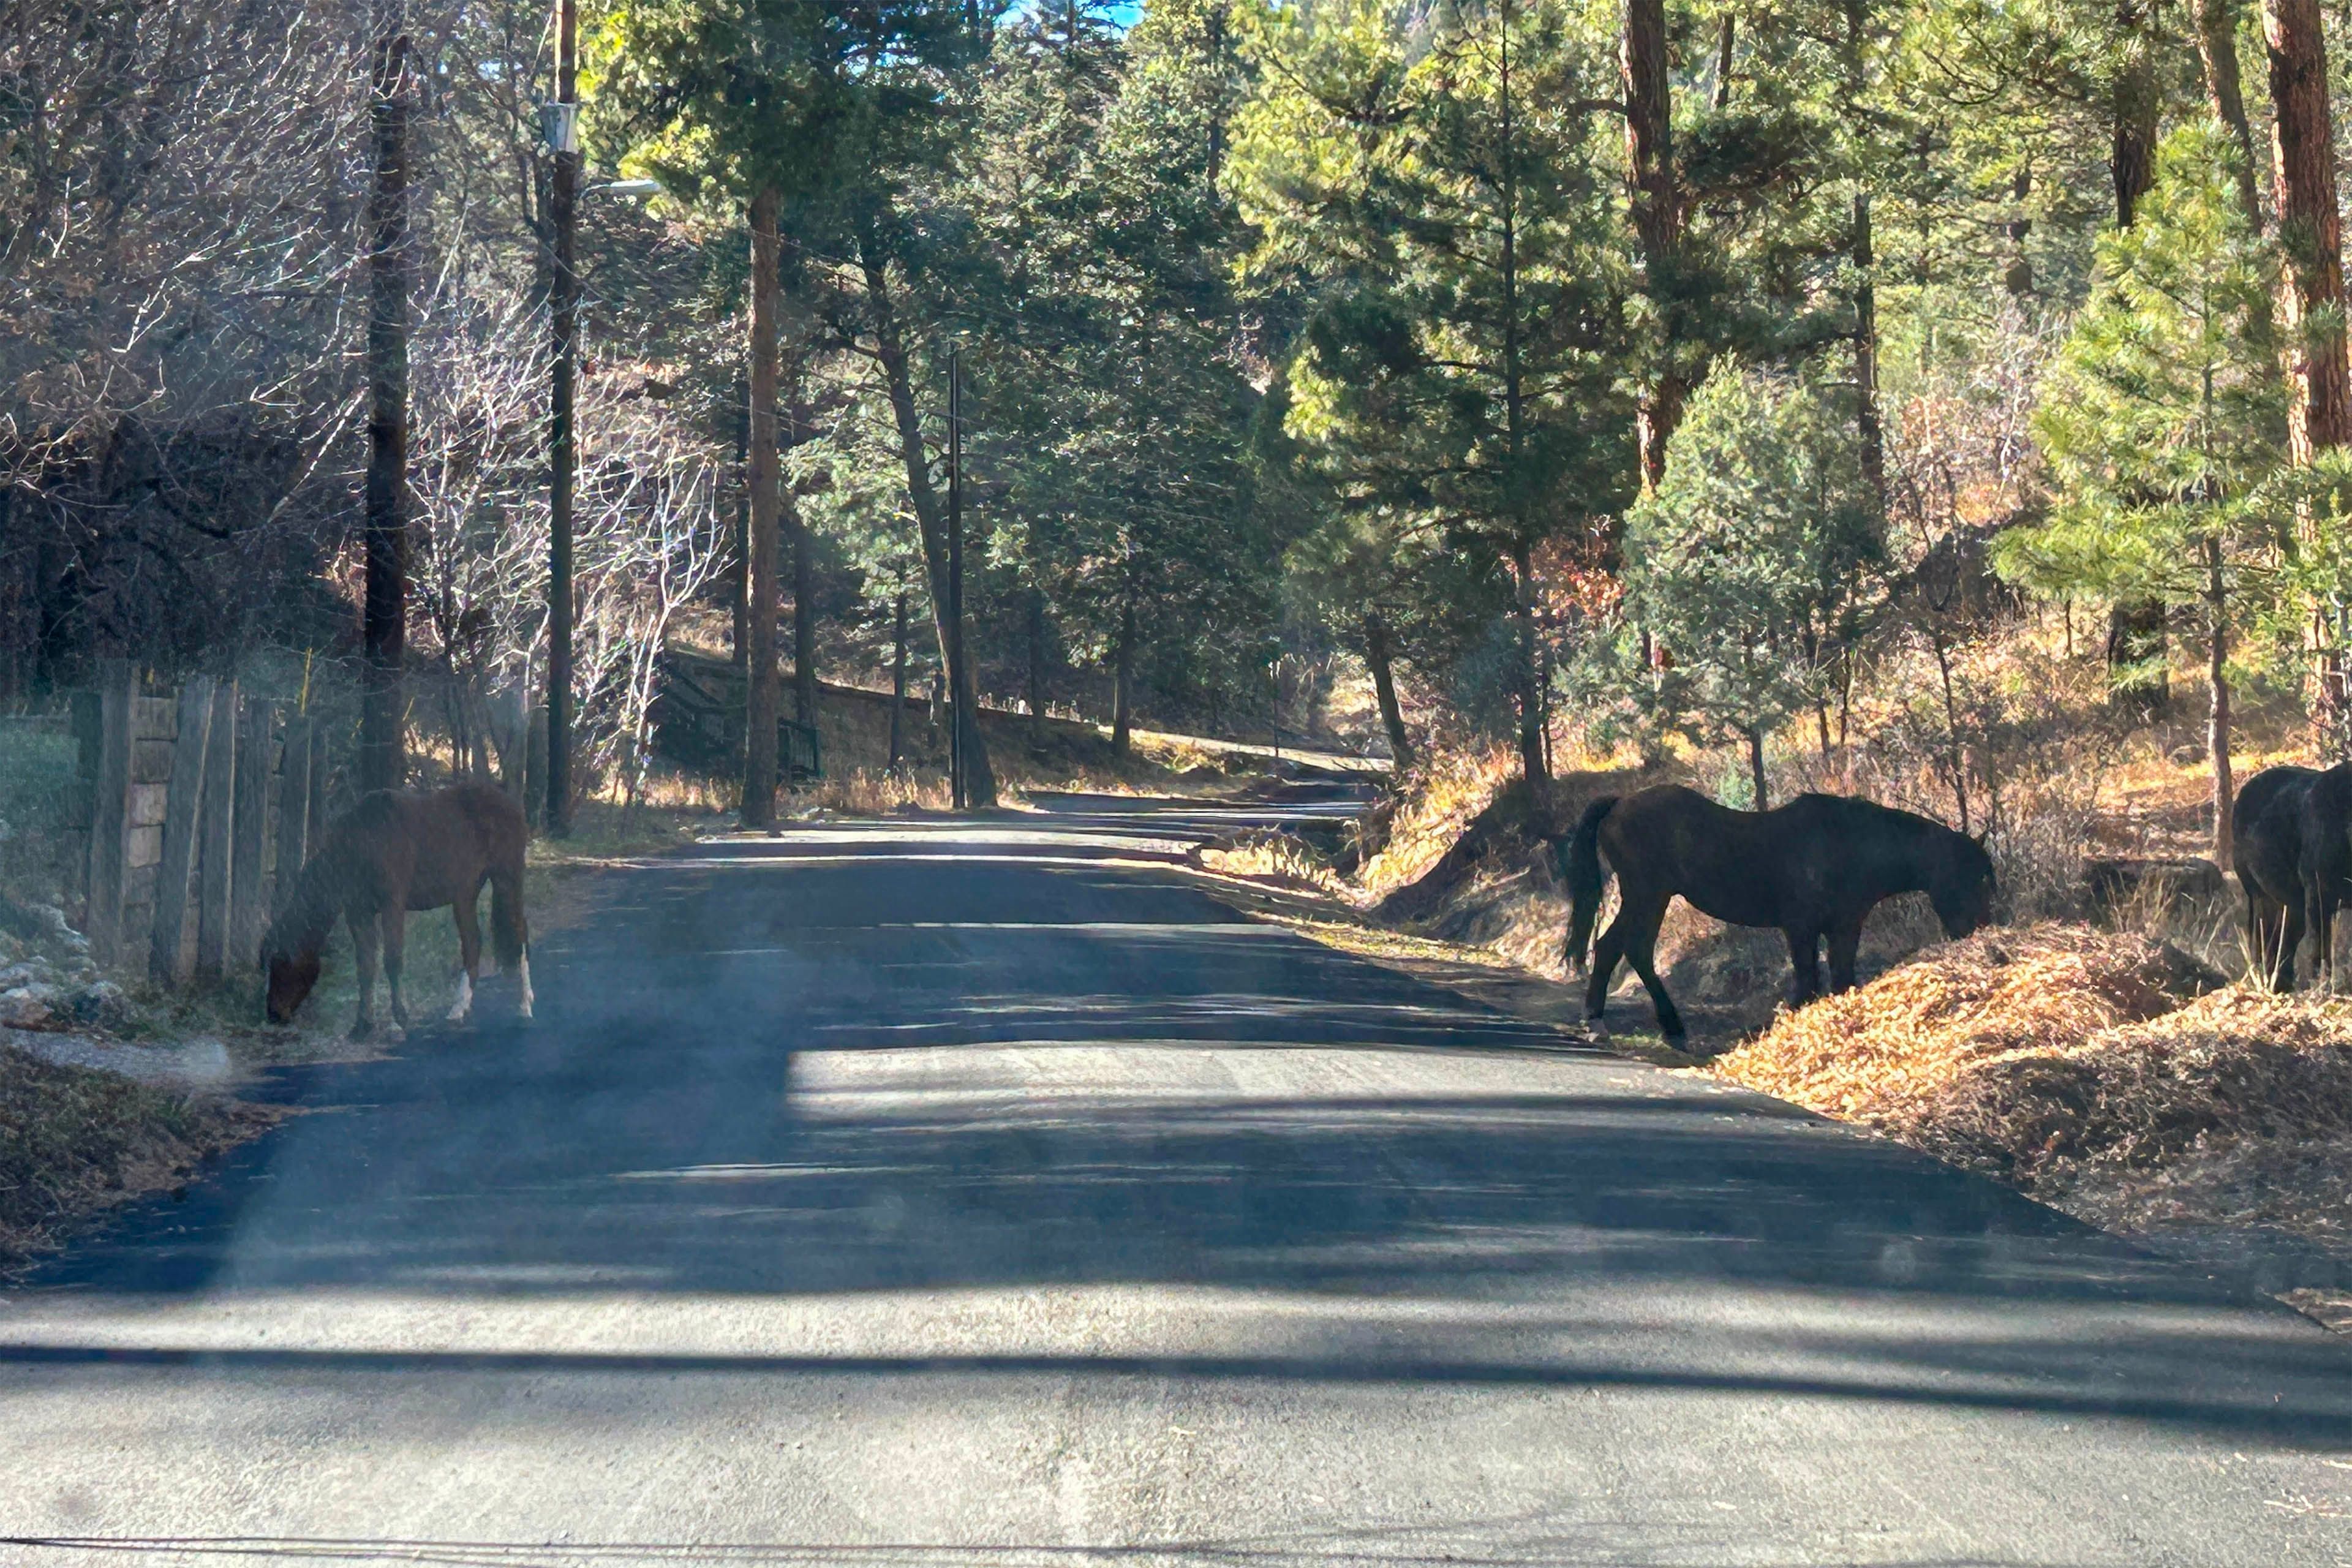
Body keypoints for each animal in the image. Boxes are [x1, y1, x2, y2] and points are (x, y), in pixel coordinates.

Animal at [262, 781, 533, 1038]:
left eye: (281, 964)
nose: (273, 1013)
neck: (363, 842)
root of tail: (512, 804)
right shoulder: (358, 912)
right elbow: (365, 965)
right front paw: (362, 1025)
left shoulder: (392, 905)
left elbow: (392, 960)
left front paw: (398, 1020)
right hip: (465, 895)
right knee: (473, 943)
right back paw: (458, 1010)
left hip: (507, 879)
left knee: (519, 934)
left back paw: (525, 1006)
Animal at [1557, 785, 1997, 1045]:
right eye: (1971, 876)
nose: (1978, 929)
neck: (1852, 845)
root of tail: (1619, 803)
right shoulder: (1801, 928)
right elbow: (1807, 981)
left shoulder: (1845, 928)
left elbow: (1841, 980)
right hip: (1647, 894)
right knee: (1625, 947)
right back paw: (1633, 1023)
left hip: (1651, 896)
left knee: (1622, 948)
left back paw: (1635, 1023)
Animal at [2230, 761, 2352, 991]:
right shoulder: (2317, 893)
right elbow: (2319, 949)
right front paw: (2321, 986)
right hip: (2260, 897)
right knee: (2262, 943)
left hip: (2291, 905)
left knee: (2281, 943)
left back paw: (2281, 984)